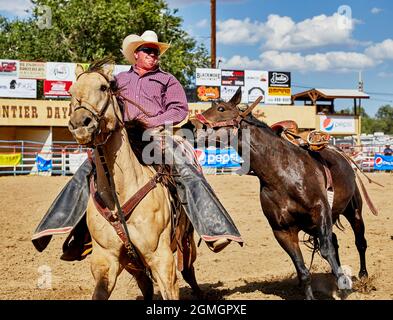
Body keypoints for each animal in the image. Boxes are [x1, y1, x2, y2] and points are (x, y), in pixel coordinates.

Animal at [66, 60, 201, 300]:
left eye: (103, 87)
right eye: (71, 92)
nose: (80, 123)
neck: (120, 195)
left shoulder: (162, 260)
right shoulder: (105, 261)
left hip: (186, 243)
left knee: (188, 271)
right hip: (132, 263)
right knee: (146, 285)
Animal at [191, 88, 376, 300]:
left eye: (221, 108)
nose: (192, 125)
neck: (281, 173)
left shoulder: (320, 212)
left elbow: (327, 250)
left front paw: (343, 286)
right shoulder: (282, 230)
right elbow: (303, 270)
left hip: (353, 210)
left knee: (359, 241)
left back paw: (363, 275)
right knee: (335, 241)